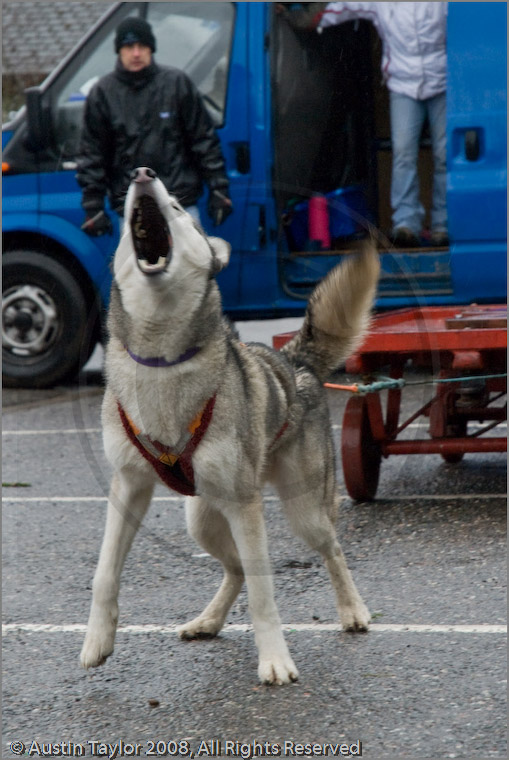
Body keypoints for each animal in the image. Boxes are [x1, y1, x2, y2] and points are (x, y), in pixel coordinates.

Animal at [80, 169, 378, 684]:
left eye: (178, 208)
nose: (142, 173)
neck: (161, 360)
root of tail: (293, 361)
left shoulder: (244, 505)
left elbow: (263, 593)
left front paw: (275, 660)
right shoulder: (129, 486)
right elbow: (105, 573)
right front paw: (97, 641)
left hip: (302, 512)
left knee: (331, 550)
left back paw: (352, 610)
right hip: (200, 521)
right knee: (235, 569)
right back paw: (208, 621)